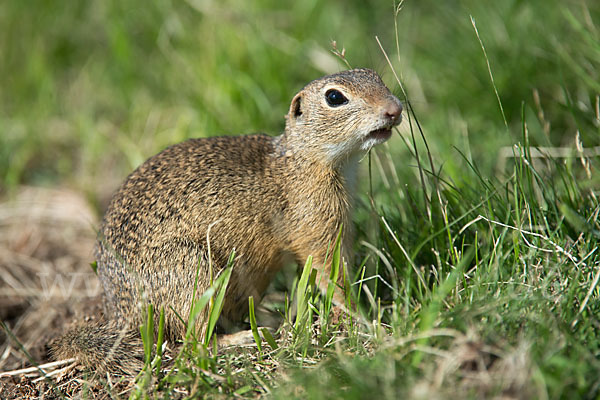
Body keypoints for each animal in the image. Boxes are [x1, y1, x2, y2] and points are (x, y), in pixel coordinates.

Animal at [50, 68, 398, 372]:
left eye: (375, 76)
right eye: (335, 97)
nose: (394, 109)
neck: (302, 160)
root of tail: (122, 317)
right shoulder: (316, 225)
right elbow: (332, 275)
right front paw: (363, 318)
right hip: (193, 274)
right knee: (194, 342)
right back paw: (247, 337)